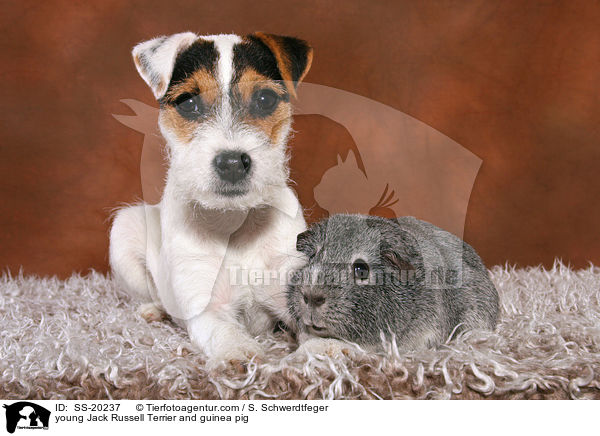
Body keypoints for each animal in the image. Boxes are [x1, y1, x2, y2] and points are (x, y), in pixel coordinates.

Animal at [109, 32, 312, 368]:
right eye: (189, 103)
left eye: (265, 100)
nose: (232, 163)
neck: (235, 220)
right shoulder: (205, 305)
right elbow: (223, 331)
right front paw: (239, 352)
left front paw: (327, 350)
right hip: (124, 229)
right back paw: (153, 310)